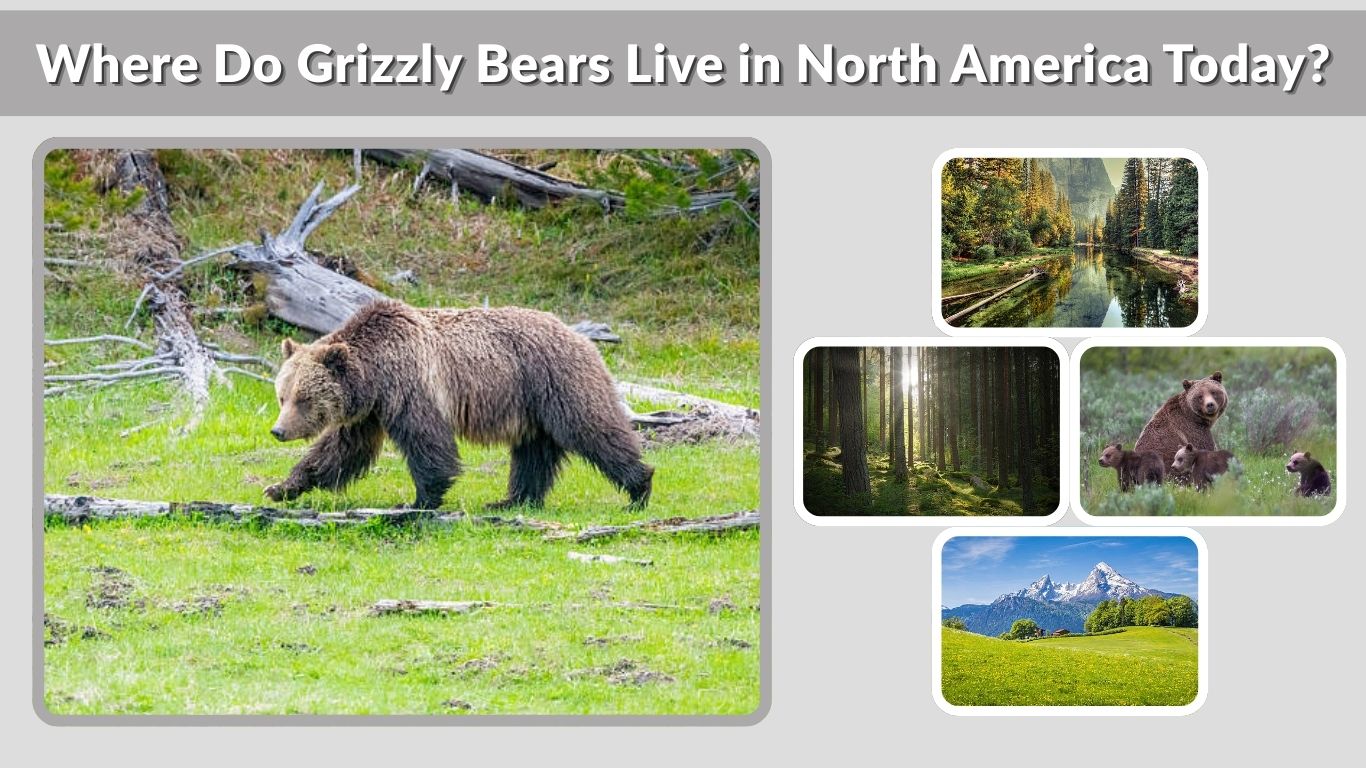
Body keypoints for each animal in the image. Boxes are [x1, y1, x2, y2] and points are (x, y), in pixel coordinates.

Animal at [264, 299, 654, 511]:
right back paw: (513, 499)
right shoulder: (369, 411)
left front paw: (420, 499)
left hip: (556, 381)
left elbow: (426, 441)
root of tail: (579, 336)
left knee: (592, 428)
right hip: (531, 404)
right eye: (282, 395)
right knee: (533, 452)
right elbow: (341, 450)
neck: (375, 373)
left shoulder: (411, 386)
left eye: (304, 398)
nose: (278, 430)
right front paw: (283, 487)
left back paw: (639, 485)